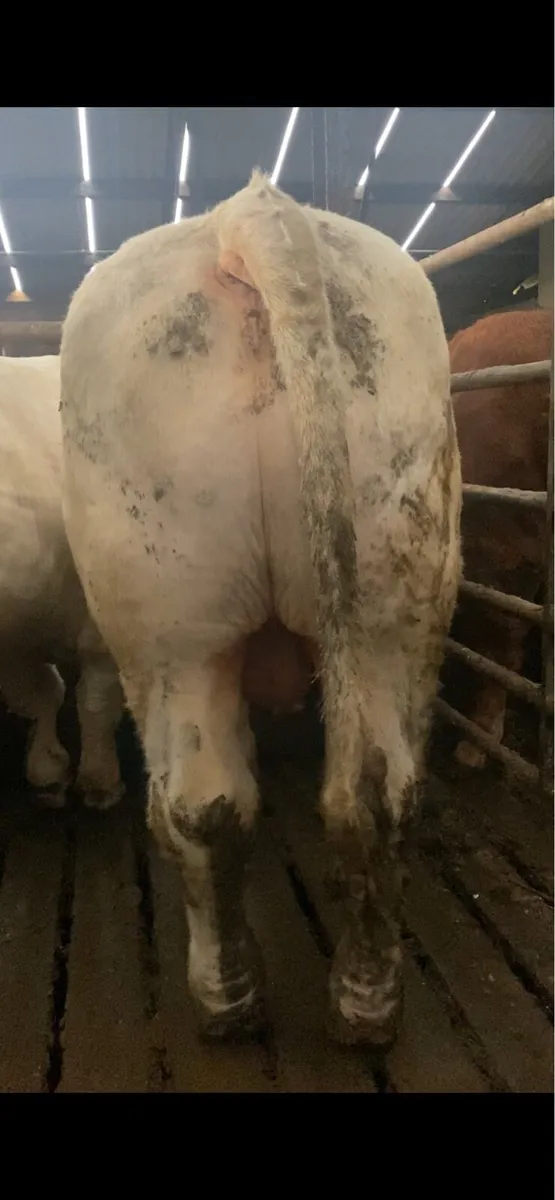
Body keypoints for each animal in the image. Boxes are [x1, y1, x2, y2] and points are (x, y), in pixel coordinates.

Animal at [0, 354, 124, 808]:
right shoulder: (13, 641)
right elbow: (38, 692)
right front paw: (49, 772)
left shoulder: (105, 628)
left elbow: (96, 701)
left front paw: (100, 782)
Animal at [59, 172, 461, 1048]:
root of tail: (250, 215)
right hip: (389, 592)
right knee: (374, 793)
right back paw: (365, 1003)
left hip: (171, 628)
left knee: (196, 802)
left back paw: (226, 1001)